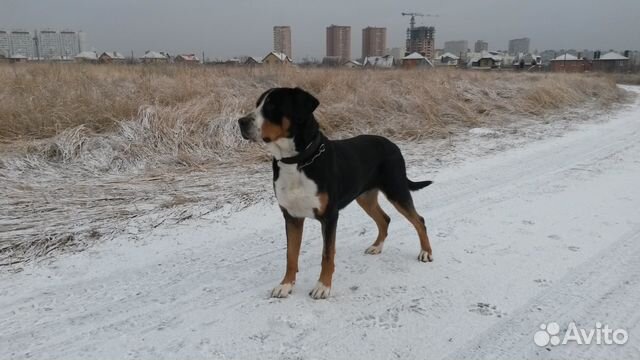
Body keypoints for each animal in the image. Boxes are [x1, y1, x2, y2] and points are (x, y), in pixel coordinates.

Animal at [240, 88, 436, 300]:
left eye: (273, 106)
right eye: (257, 104)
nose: (241, 122)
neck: (297, 162)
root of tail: (392, 144)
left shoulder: (329, 216)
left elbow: (327, 254)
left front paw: (323, 287)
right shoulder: (292, 216)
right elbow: (290, 255)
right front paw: (285, 285)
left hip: (396, 190)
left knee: (419, 220)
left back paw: (426, 252)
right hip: (365, 197)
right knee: (385, 219)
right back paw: (377, 246)